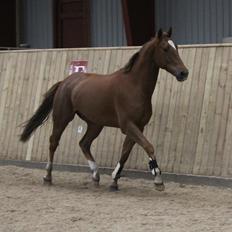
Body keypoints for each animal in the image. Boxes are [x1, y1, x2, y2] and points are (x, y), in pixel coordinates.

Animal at [20, 28, 188, 190]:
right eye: (165, 49)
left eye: (176, 47)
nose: (183, 73)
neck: (134, 86)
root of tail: (65, 82)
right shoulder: (128, 125)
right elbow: (148, 146)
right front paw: (158, 179)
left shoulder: (138, 126)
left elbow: (125, 152)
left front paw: (114, 181)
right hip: (62, 118)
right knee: (54, 142)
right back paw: (47, 177)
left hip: (95, 124)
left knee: (84, 143)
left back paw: (95, 175)